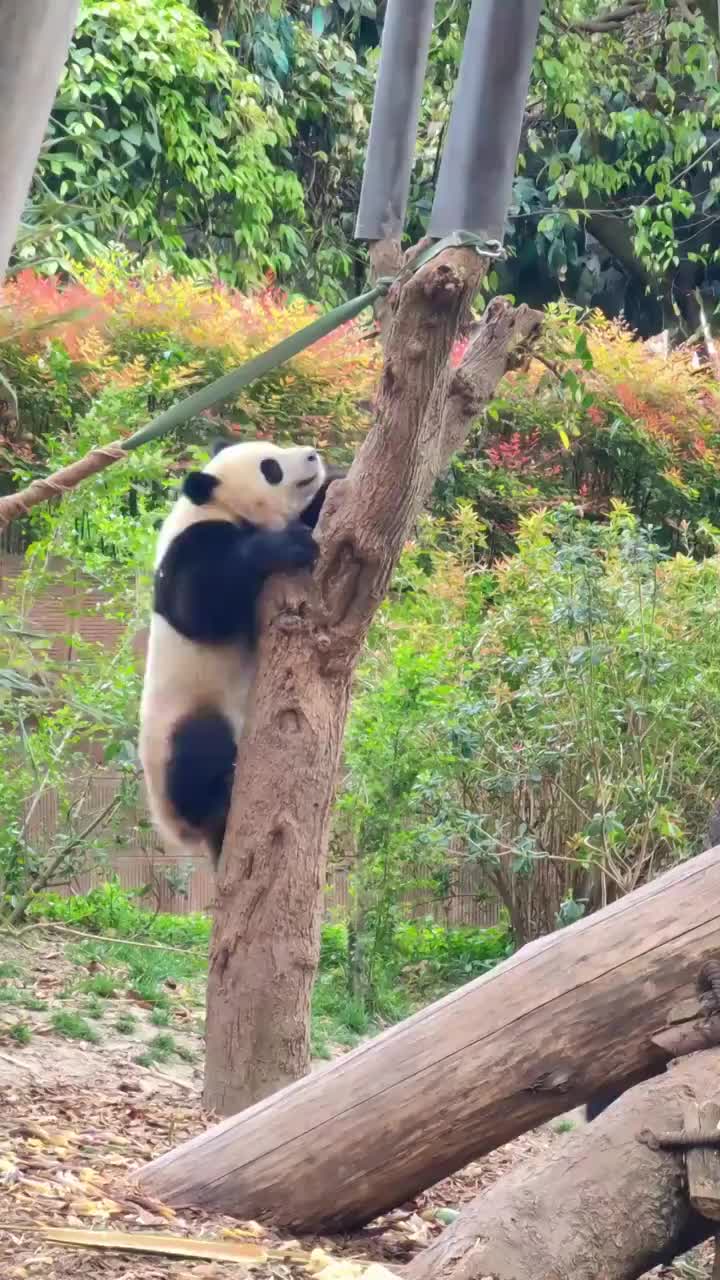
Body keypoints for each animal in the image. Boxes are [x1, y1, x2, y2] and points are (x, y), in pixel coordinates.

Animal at [139, 440, 340, 870]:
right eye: (271, 468)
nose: (313, 455)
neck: (217, 507)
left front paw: (335, 481)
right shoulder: (190, 546)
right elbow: (199, 601)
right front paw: (289, 545)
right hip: (179, 722)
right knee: (196, 749)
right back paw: (219, 797)